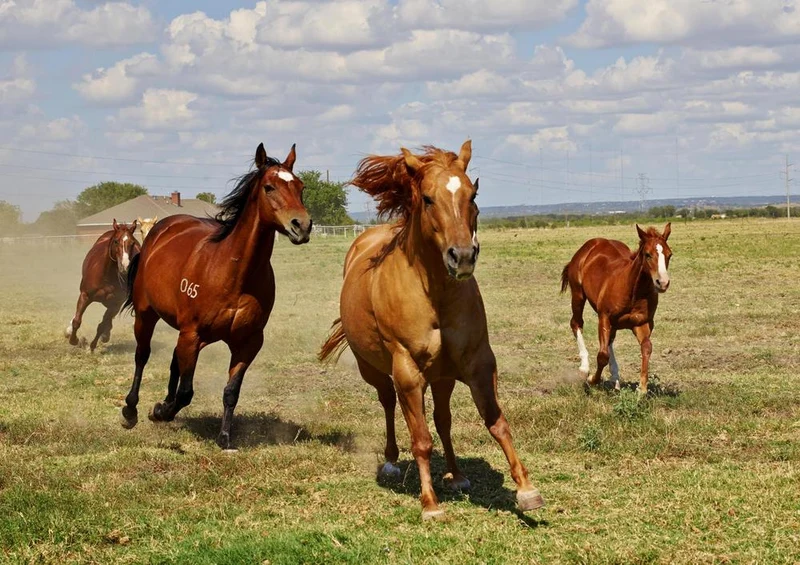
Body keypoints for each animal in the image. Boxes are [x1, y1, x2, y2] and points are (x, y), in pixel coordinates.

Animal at [66, 219, 140, 352]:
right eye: (116, 241)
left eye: (133, 243)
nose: (125, 266)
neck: (107, 277)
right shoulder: (85, 296)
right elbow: (77, 321)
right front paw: (75, 340)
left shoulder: (116, 303)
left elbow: (102, 325)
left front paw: (91, 346)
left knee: (107, 321)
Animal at [120, 142, 312, 449]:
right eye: (269, 187)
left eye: (300, 186)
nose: (302, 226)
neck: (234, 274)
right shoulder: (192, 333)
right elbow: (186, 392)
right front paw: (160, 411)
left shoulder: (247, 342)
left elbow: (231, 391)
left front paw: (224, 437)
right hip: (147, 315)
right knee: (142, 355)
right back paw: (131, 410)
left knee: (174, 361)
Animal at [319, 141, 544, 520]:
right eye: (426, 198)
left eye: (472, 193)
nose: (463, 256)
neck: (434, 294)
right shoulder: (408, 372)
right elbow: (421, 439)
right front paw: (430, 504)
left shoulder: (478, 363)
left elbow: (496, 422)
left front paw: (526, 490)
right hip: (376, 370)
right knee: (389, 403)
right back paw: (392, 462)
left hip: (442, 377)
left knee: (442, 419)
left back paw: (456, 474)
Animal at [560, 223, 672, 395]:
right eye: (647, 254)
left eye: (669, 255)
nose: (663, 283)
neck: (633, 291)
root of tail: (591, 244)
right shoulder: (604, 317)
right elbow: (602, 355)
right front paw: (592, 379)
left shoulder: (642, 323)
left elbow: (646, 347)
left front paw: (642, 389)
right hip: (578, 295)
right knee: (576, 323)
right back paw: (584, 368)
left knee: (610, 340)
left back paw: (615, 378)